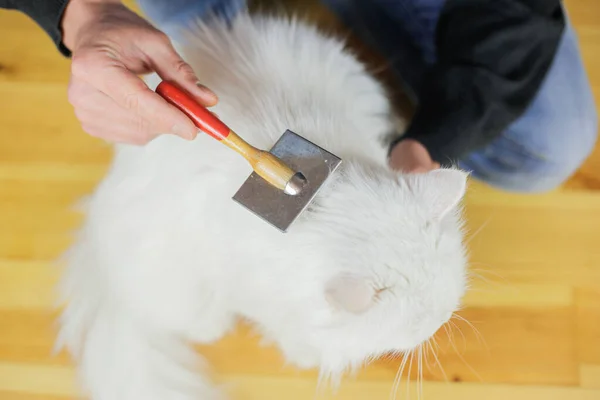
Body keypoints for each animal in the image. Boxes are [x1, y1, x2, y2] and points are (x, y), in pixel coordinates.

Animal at [55, 9, 468, 400]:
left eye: (443, 304)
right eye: (419, 322)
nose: (442, 320)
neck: (325, 205)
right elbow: (287, 328)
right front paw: (304, 354)